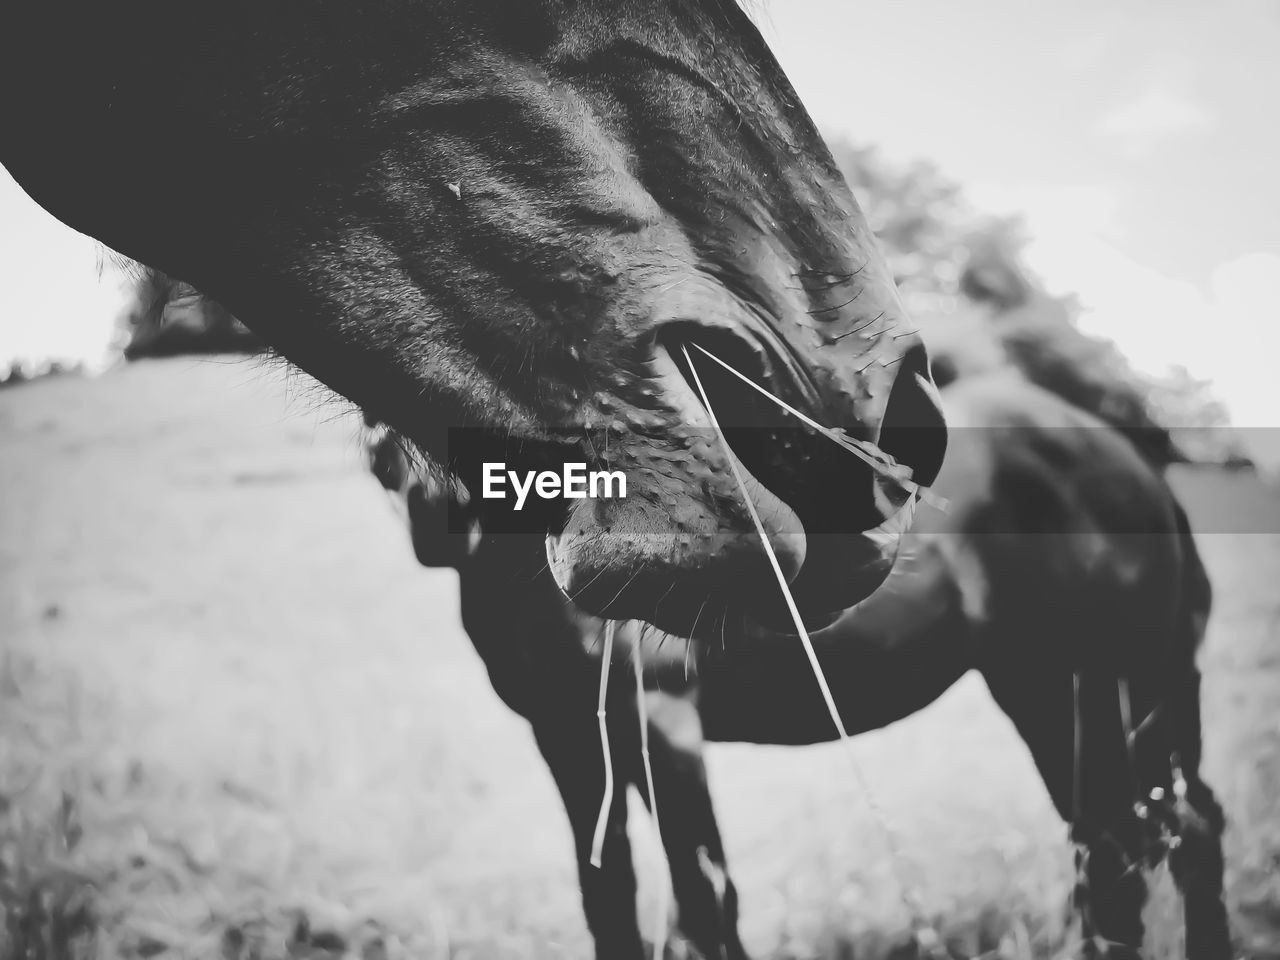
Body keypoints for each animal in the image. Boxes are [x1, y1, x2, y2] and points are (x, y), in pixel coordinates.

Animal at [366, 371, 1233, 960]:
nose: (414, 489)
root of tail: (1126, 456)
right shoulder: (569, 739)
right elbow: (608, 897)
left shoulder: (665, 728)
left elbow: (705, 897)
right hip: (1055, 689)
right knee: (1155, 837)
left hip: (1088, 685)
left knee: (1123, 850)